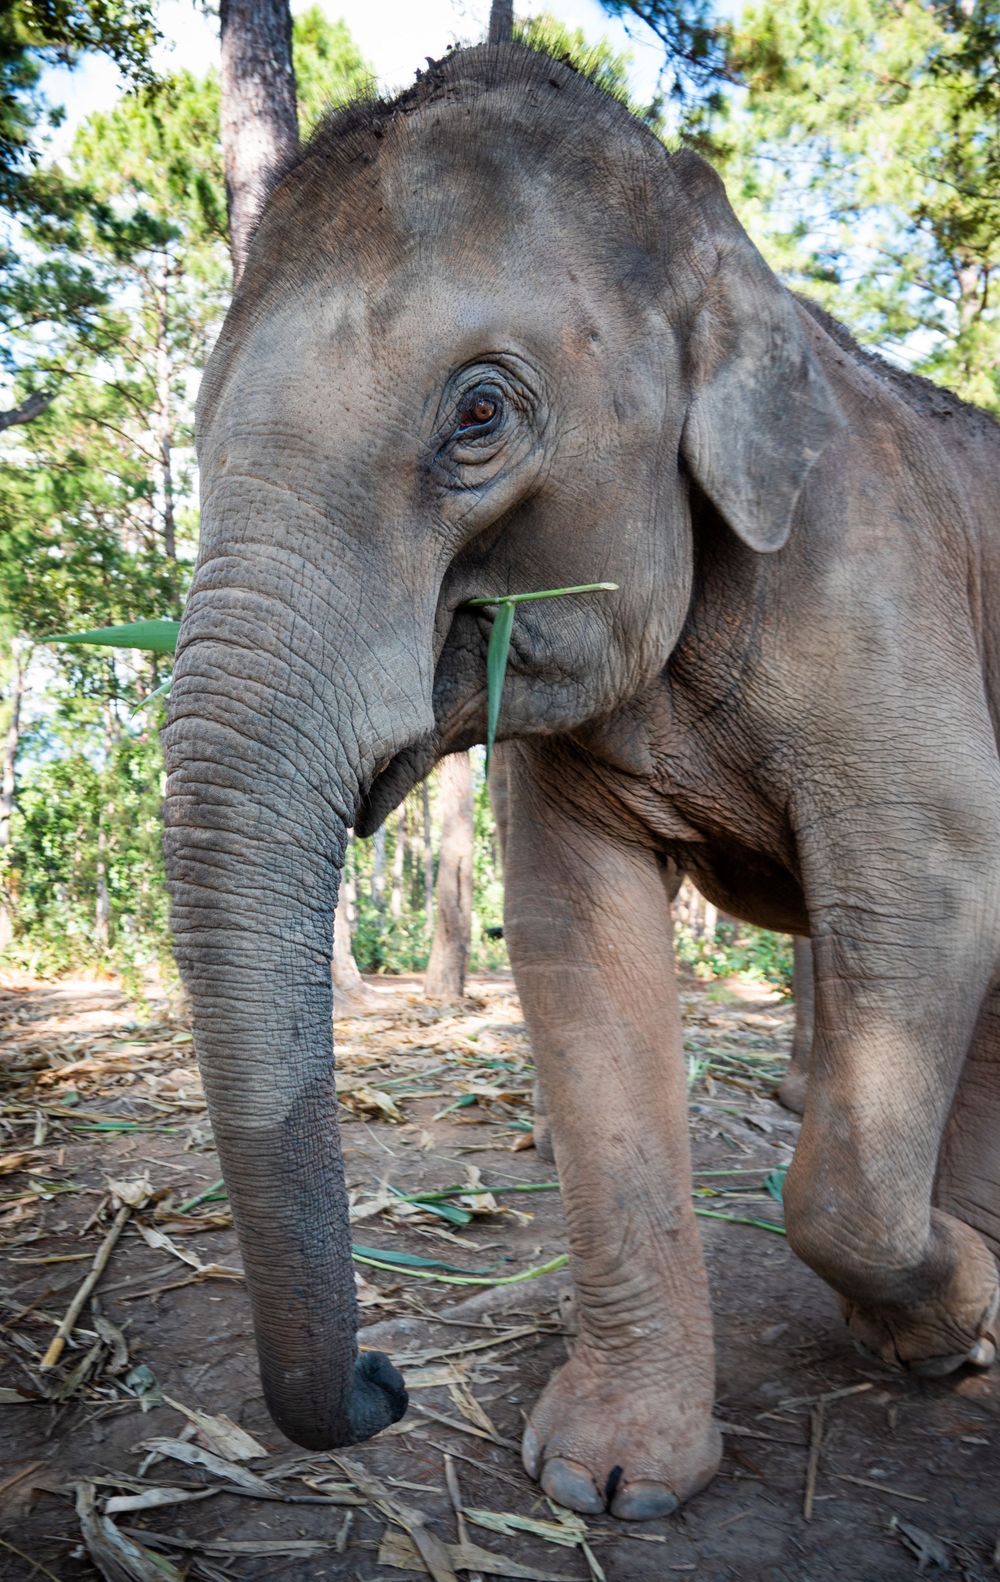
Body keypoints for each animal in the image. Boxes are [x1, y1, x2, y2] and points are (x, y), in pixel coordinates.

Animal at [163, 42, 1000, 1522]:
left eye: (480, 413)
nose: (381, 1379)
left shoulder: (876, 581)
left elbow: (930, 896)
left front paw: (957, 1318)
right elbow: (576, 950)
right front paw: (608, 1479)